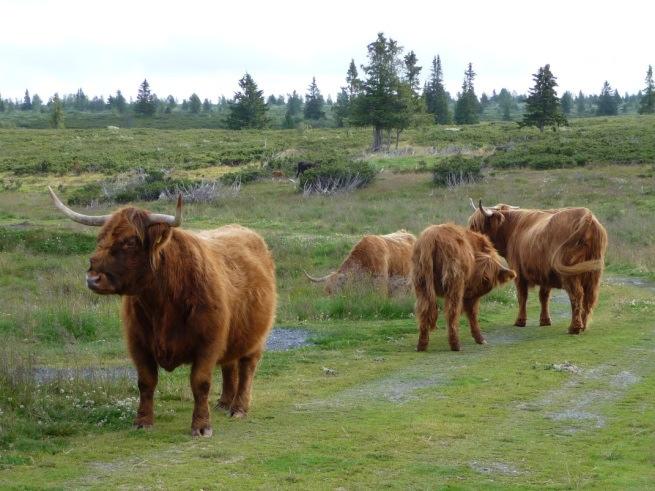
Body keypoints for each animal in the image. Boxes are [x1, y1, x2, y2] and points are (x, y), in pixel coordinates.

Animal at [46, 188, 276, 438]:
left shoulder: (209, 342)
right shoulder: (138, 342)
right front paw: (143, 421)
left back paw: (239, 408)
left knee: (246, 367)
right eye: (100, 239)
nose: (93, 278)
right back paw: (224, 403)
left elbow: (200, 383)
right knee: (229, 365)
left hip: (256, 338)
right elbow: (146, 382)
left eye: (130, 241)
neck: (163, 303)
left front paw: (201, 426)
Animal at [412, 223, 516, 354]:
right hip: (454, 285)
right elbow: (472, 313)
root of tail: (431, 237)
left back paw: (421, 345)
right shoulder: (471, 295)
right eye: (483, 278)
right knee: (452, 312)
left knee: (424, 311)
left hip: (422, 285)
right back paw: (456, 345)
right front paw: (479, 338)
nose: (484, 280)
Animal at [468, 200, 608, 334]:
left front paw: (520, 321)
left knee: (577, 295)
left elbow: (522, 296)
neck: (511, 229)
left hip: (569, 273)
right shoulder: (545, 274)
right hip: (593, 273)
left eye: (476, 225)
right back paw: (583, 326)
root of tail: (586, 215)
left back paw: (574, 328)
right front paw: (545, 321)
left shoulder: (518, 272)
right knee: (589, 297)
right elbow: (543, 296)